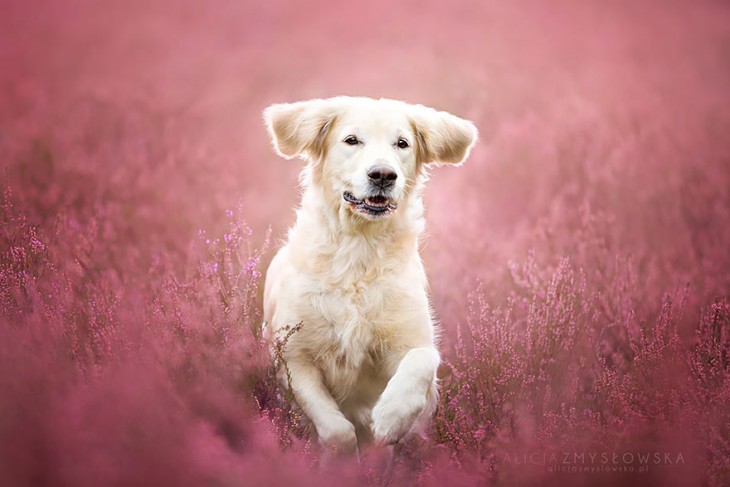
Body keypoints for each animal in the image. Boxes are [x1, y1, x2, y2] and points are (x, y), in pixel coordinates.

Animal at [262, 96, 478, 458]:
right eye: (352, 140)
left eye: (402, 143)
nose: (383, 175)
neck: (359, 250)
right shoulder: (292, 356)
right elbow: (336, 430)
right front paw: (344, 457)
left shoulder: (413, 339)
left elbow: (423, 360)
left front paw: (391, 418)